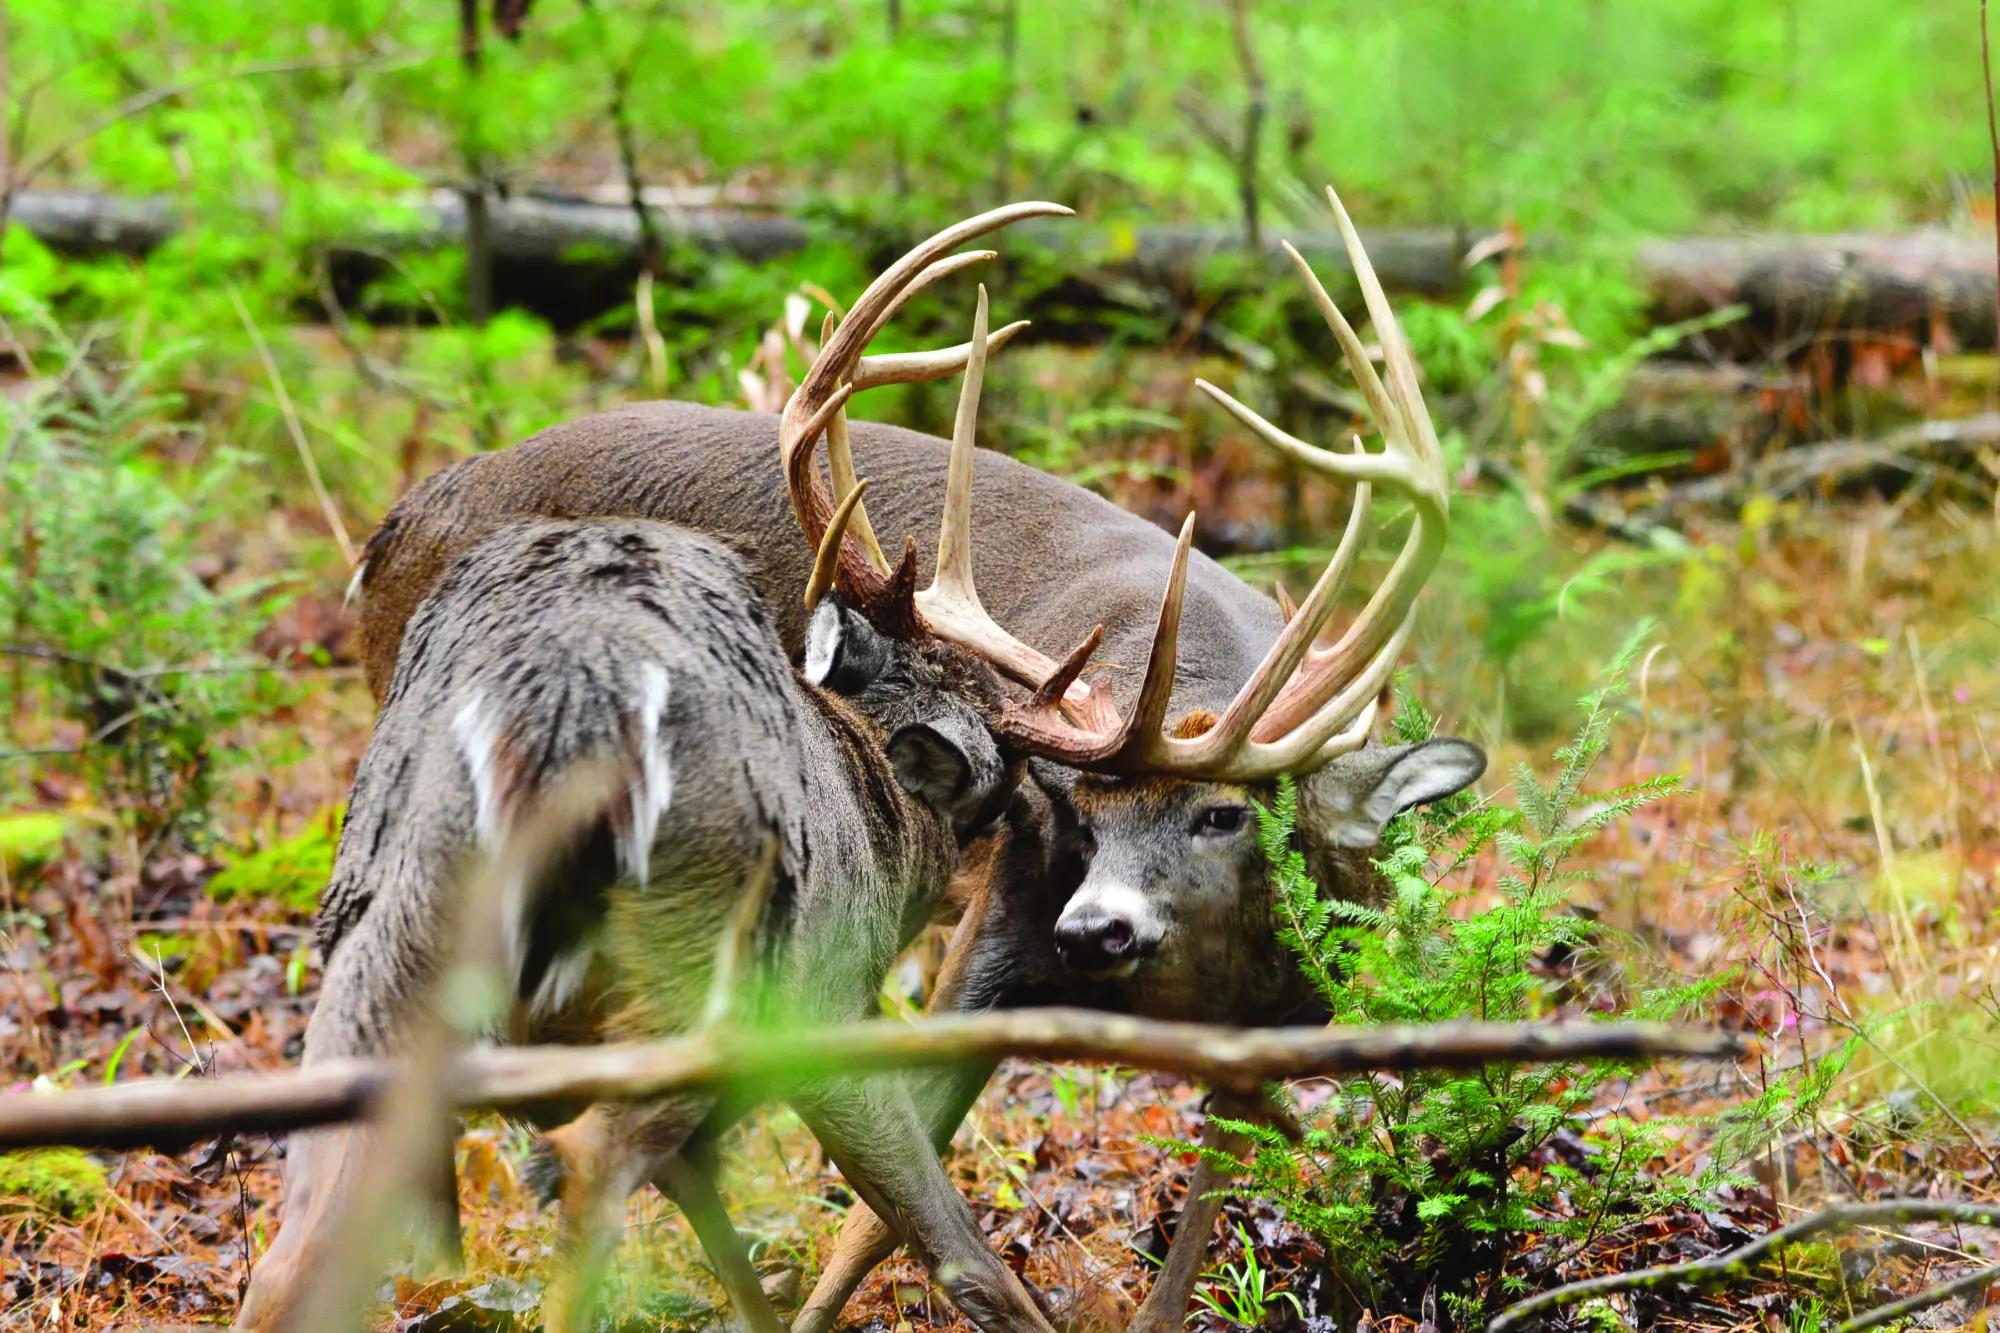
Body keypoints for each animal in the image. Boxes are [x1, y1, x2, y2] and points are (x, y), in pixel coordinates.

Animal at [336, 192, 1480, 1320]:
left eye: (1225, 813)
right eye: (1081, 816)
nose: (1093, 928)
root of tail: (393, 527)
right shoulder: (992, 932)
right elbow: (890, 1205)